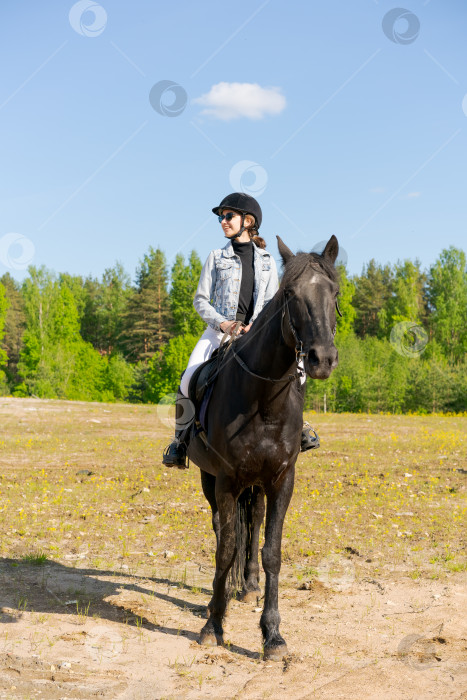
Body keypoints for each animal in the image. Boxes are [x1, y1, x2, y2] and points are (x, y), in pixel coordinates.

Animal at [188, 235, 342, 660]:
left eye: (335, 292)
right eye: (290, 294)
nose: (321, 359)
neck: (264, 399)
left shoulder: (282, 479)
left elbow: (271, 550)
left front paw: (272, 634)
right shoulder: (225, 480)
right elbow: (225, 549)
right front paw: (213, 625)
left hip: (256, 485)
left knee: (253, 520)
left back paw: (249, 586)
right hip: (210, 479)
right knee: (221, 530)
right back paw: (220, 597)